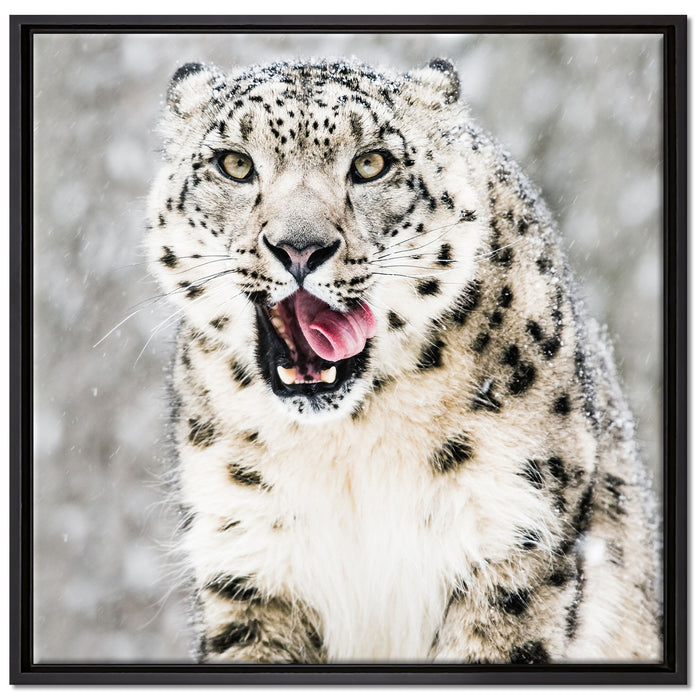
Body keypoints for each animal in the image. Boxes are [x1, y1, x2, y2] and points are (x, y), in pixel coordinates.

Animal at [146, 58, 661, 664]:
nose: (300, 248)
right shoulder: (249, 557)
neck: (348, 446)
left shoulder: (513, 534)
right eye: (235, 164)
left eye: (372, 164)